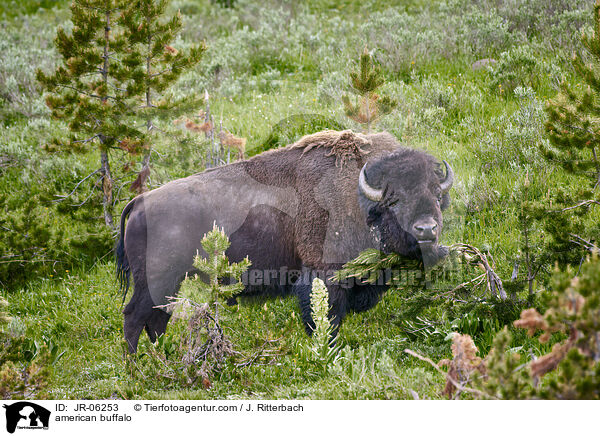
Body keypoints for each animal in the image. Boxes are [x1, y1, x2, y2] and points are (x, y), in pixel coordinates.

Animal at [117, 129, 452, 350]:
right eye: (393, 200)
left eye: (437, 195)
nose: (426, 230)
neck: (360, 198)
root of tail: (139, 202)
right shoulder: (323, 275)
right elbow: (324, 317)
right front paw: (325, 350)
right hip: (154, 281)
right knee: (135, 317)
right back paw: (138, 368)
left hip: (170, 284)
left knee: (157, 320)